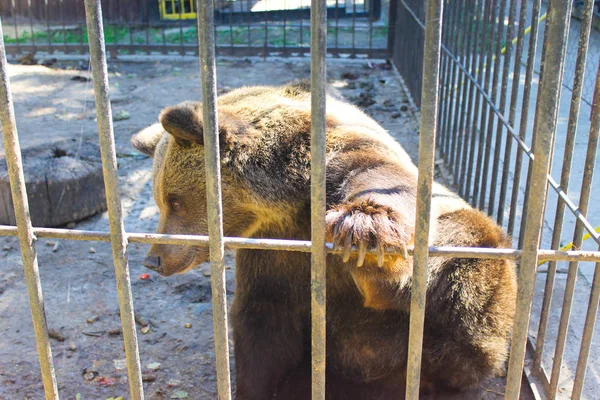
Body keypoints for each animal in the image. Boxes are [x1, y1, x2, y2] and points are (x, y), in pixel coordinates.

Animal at [131, 82, 516, 400]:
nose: (154, 259)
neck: (284, 204)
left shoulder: (341, 158)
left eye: (175, 201)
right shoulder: (270, 253)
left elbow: (379, 179)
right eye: (160, 200)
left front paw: (366, 237)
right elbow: (262, 323)